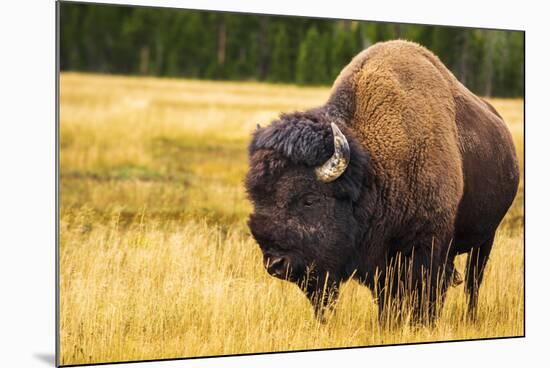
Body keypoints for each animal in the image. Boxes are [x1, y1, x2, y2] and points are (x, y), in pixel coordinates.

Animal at [246, 38, 520, 324]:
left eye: (309, 199)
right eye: (257, 198)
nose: (275, 263)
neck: (374, 169)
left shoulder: (428, 246)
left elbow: (426, 292)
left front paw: (422, 323)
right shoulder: (376, 261)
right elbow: (386, 297)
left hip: (486, 238)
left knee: (472, 282)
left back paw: (470, 317)